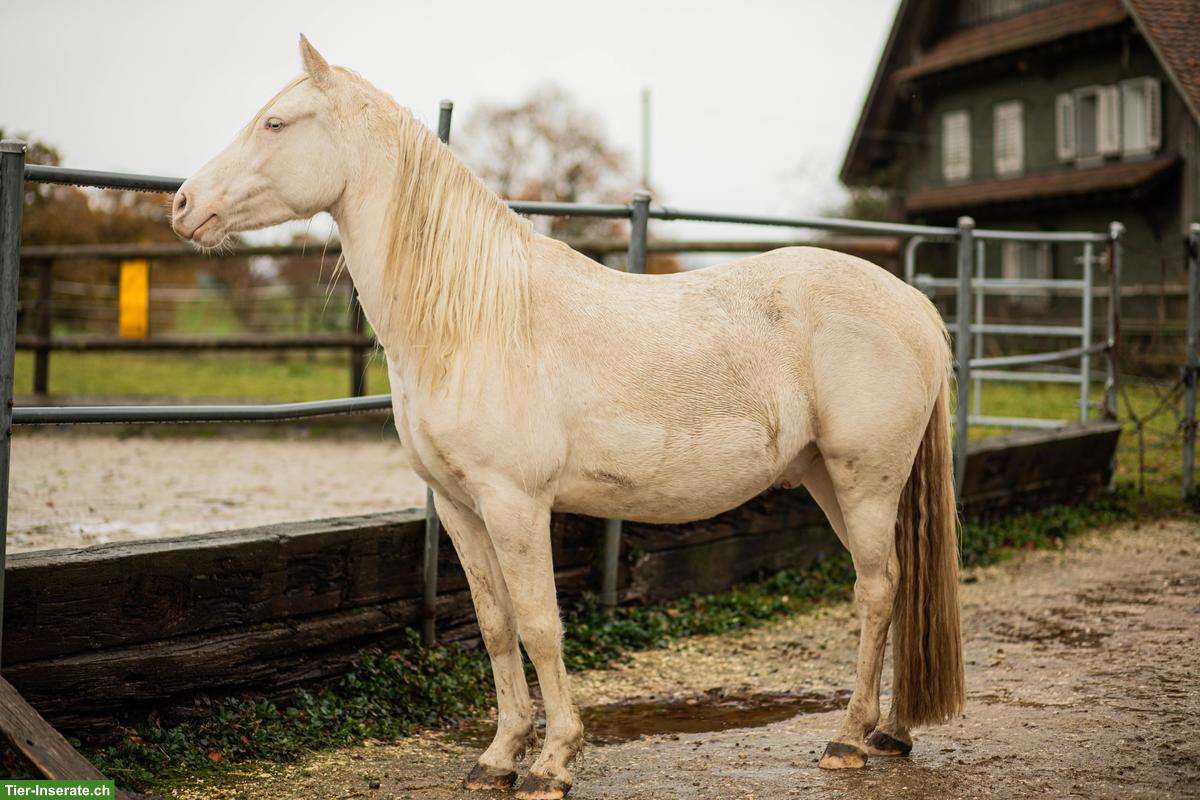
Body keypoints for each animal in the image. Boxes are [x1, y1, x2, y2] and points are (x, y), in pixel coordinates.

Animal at [171, 35, 964, 800]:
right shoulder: (459, 506)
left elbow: (540, 625)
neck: (474, 320)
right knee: (895, 587)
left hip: (864, 481)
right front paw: (497, 757)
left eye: (276, 124)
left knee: (877, 589)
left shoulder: (515, 503)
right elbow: (494, 627)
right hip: (829, 481)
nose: (182, 205)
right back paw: (890, 732)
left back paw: (847, 740)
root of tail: (913, 304)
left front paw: (551, 763)